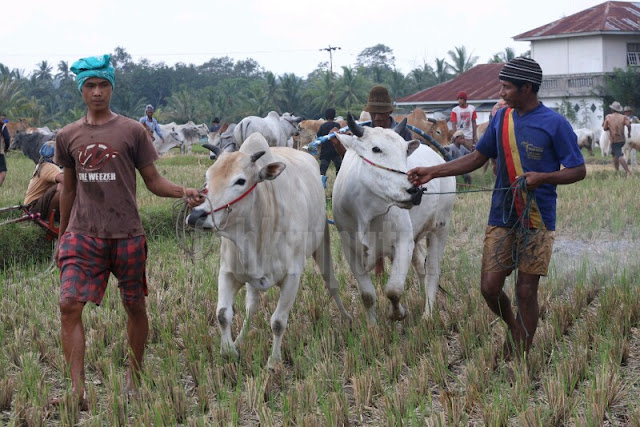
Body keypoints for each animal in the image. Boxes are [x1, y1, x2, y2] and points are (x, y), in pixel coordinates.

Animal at [188, 135, 350, 372]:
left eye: (240, 181)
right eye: (207, 178)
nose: (196, 216)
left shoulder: (292, 277)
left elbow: (278, 322)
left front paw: (273, 362)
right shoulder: (228, 273)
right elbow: (223, 314)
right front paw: (229, 351)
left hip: (323, 244)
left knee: (332, 284)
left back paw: (347, 317)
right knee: (251, 307)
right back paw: (241, 339)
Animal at [336, 114, 456, 324]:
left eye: (404, 151)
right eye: (376, 149)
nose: (415, 191)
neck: (366, 212)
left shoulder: (403, 242)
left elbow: (393, 289)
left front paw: (397, 313)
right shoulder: (350, 249)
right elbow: (367, 295)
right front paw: (372, 327)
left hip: (440, 228)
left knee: (432, 270)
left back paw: (427, 314)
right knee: (421, 266)